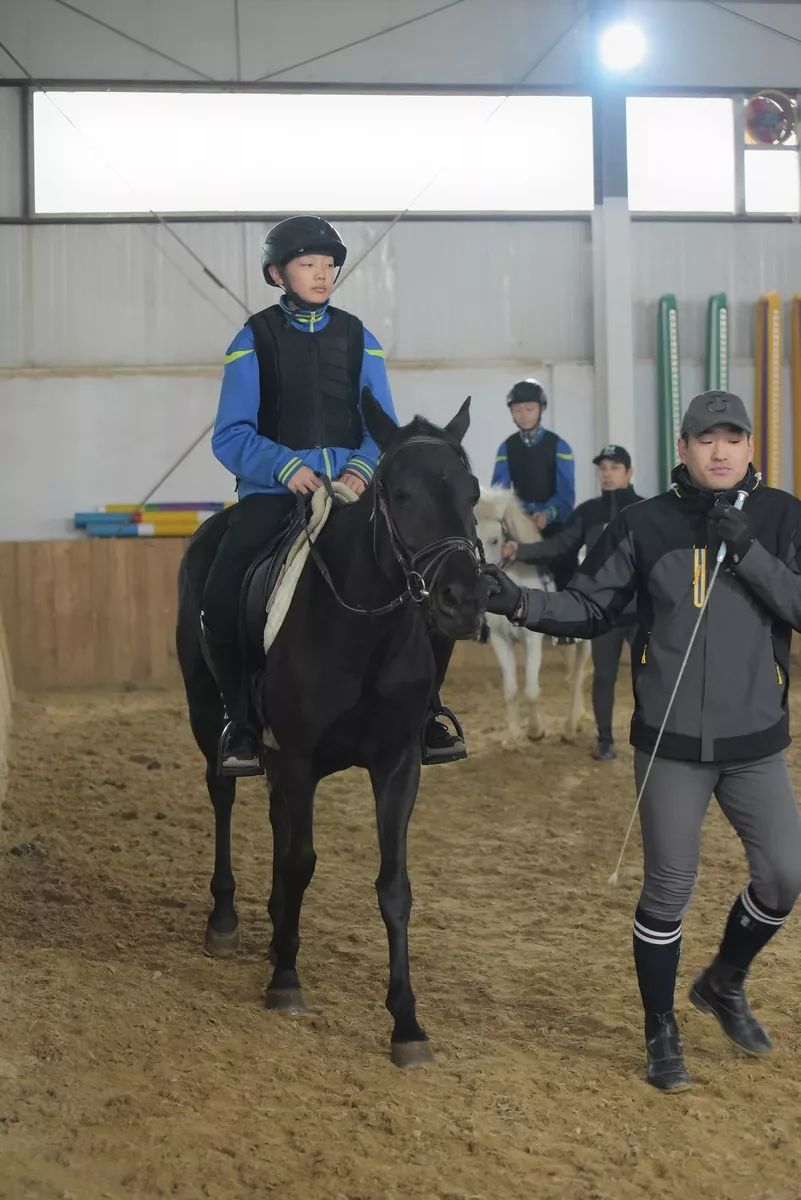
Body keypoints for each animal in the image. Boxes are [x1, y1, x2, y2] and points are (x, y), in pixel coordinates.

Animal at [176, 393, 484, 1070]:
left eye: (473, 491)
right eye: (399, 493)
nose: (462, 602)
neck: (364, 632)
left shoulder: (397, 764)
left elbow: (393, 885)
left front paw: (407, 1023)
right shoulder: (298, 758)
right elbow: (301, 860)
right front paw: (286, 981)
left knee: (273, 816)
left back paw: (275, 927)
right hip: (209, 714)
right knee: (223, 795)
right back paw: (227, 920)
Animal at [479, 487, 592, 739]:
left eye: (495, 539)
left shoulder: (532, 639)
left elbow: (531, 690)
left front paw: (535, 731)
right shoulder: (500, 639)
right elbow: (510, 689)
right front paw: (512, 735)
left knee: (578, 676)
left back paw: (570, 727)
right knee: (572, 675)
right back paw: (578, 718)